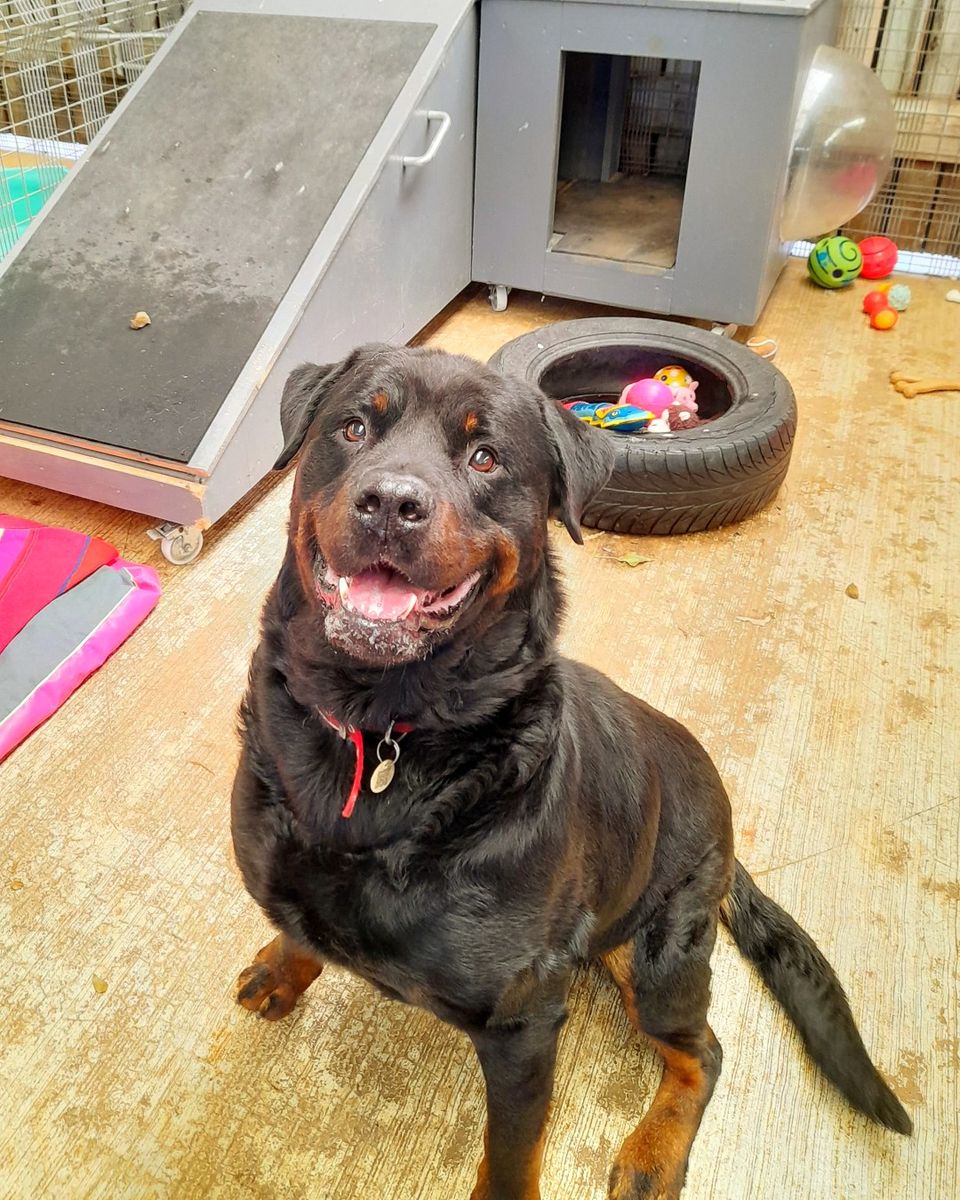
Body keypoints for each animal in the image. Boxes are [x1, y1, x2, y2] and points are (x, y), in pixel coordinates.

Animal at [230, 344, 911, 1200]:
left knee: (704, 1050)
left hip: (656, 955)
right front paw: (285, 962)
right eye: (353, 427)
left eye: (485, 457)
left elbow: (512, 1153)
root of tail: (730, 838)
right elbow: (297, 924)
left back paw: (654, 1154)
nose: (389, 502)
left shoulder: (522, 1027)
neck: (381, 730)